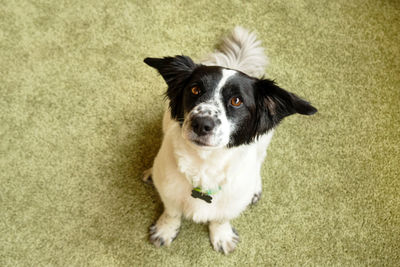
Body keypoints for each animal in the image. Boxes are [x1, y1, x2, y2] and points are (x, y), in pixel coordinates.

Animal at [142, 27, 318, 255]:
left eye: (236, 101)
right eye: (195, 89)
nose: (201, 123)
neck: (205, 164)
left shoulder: (232, 201)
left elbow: (221, 217)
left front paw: (222, 236)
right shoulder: (170, 190)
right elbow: (172, 211)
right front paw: (165, 231)